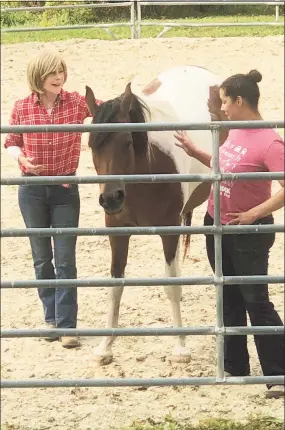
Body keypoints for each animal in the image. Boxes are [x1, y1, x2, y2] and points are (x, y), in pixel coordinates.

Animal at [85, 65, 221, 364]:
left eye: (126, 141)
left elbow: (171, 285)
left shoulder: (169, 231)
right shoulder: (116, 232)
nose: (111, 199)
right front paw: (104, 347)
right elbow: (115, 286)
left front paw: (180, 347)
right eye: (91, 144)